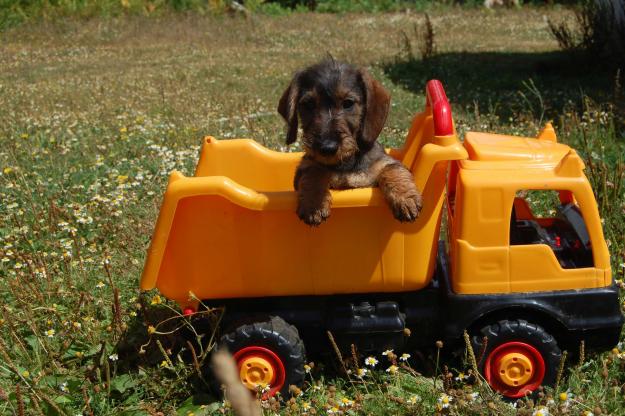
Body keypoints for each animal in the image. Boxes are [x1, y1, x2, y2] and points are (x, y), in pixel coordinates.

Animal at [280, 59, 422, 226]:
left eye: (348, 103)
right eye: (308, 104)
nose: (327, 147)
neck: (346, 163)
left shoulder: (383, 162)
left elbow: (392, 168)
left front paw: (406, 198)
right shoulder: (305, 167)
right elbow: (313, 171)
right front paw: (313, 203)